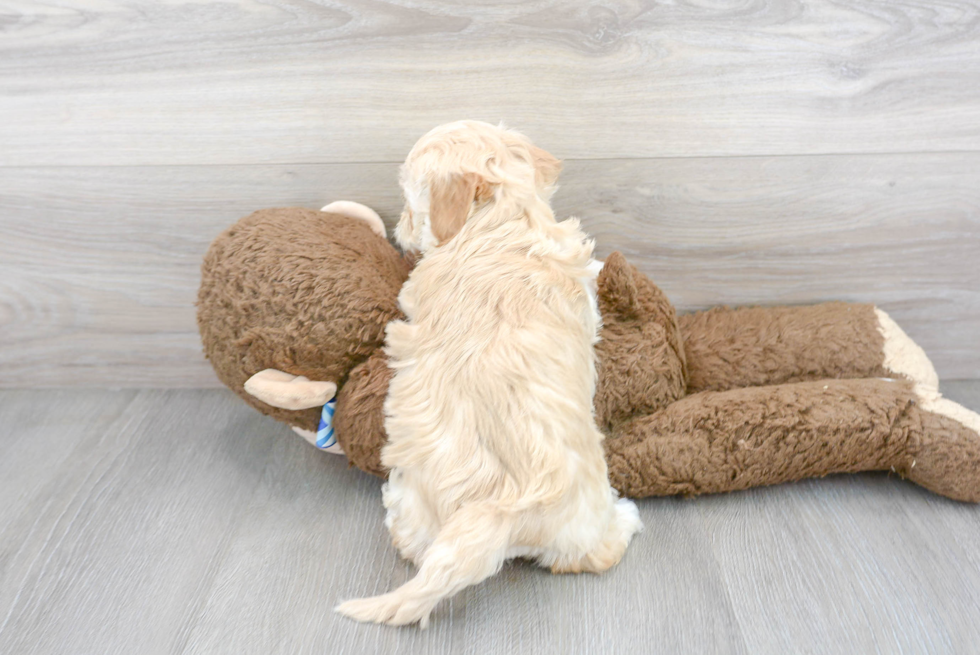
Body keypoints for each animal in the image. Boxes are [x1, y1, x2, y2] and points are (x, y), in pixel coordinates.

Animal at [336, 120, 644, 628]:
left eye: (411, 203)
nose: (399, 229)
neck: (500, 221)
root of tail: (505, 507)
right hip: (581, 523)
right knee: (594, 556)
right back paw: (626, 518)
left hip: (412, 497)